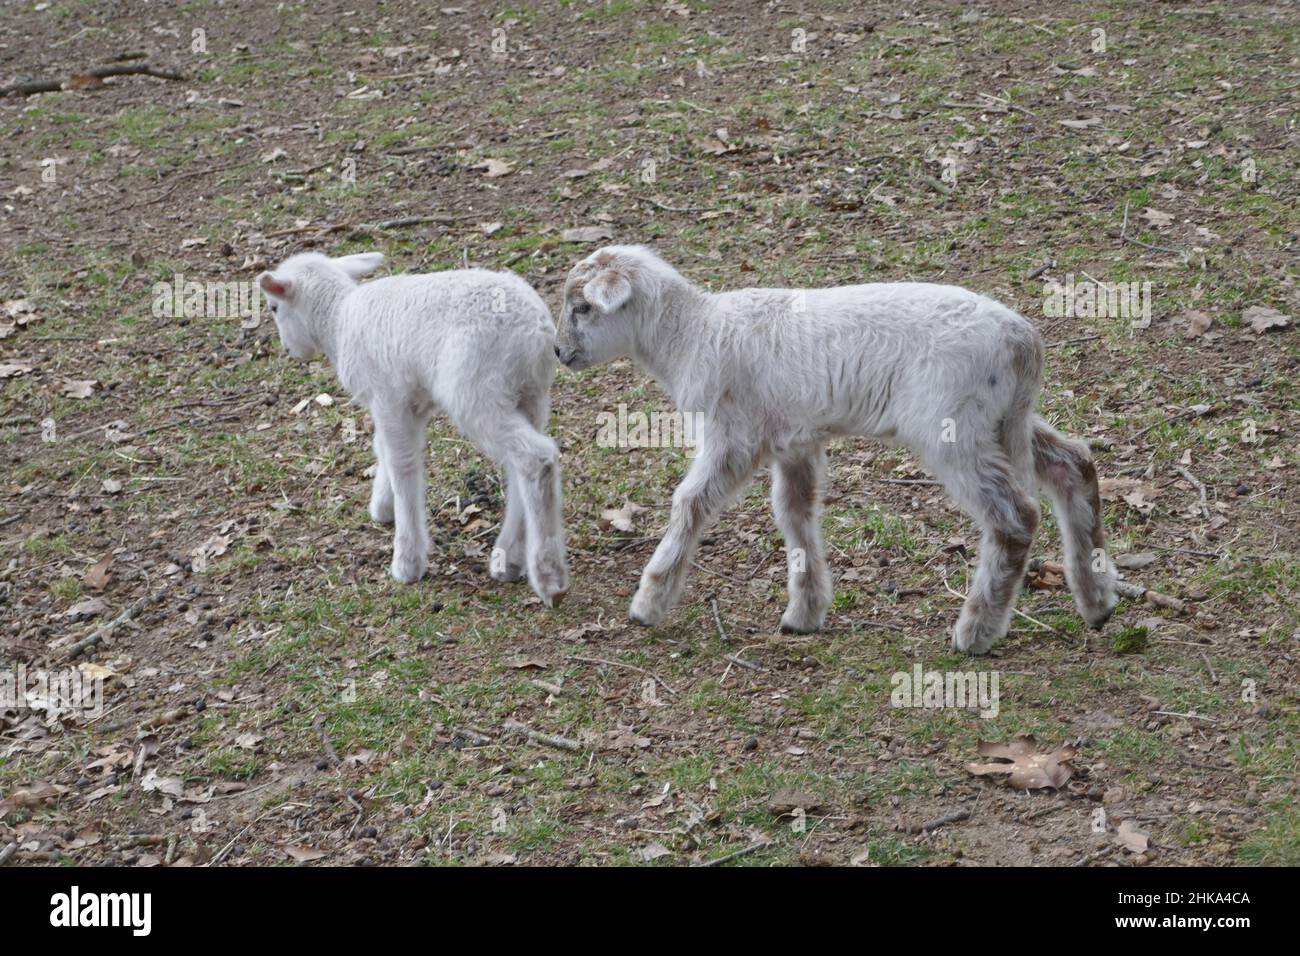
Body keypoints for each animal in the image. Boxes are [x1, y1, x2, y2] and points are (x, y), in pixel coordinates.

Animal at [258, 248, 569, 606]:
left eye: (274, 307)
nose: (288, 349)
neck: (337, 319)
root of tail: (534, 330)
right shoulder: (411, 403)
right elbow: (382, 448)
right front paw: (382, 505)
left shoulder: (388, 397)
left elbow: (402, 465)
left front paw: (407, 561)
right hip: (531, 394)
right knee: (520, 466)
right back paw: (508, 558)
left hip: (475, 391)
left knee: (536, 458)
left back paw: (549, 577)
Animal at [553, 244, 1112, 658]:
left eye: (582, 308)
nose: (559, 352)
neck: (690, 335)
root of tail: (1024, 343)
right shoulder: (794, 440)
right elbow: (795, 513)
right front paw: (804, 613)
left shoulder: (733, 435)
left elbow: (689, 504)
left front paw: (649, 601)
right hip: (1000, 420)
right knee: (1074, 463)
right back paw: (1097, 599)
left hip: (953, 426)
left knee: (1016, 516)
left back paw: (976, 631)